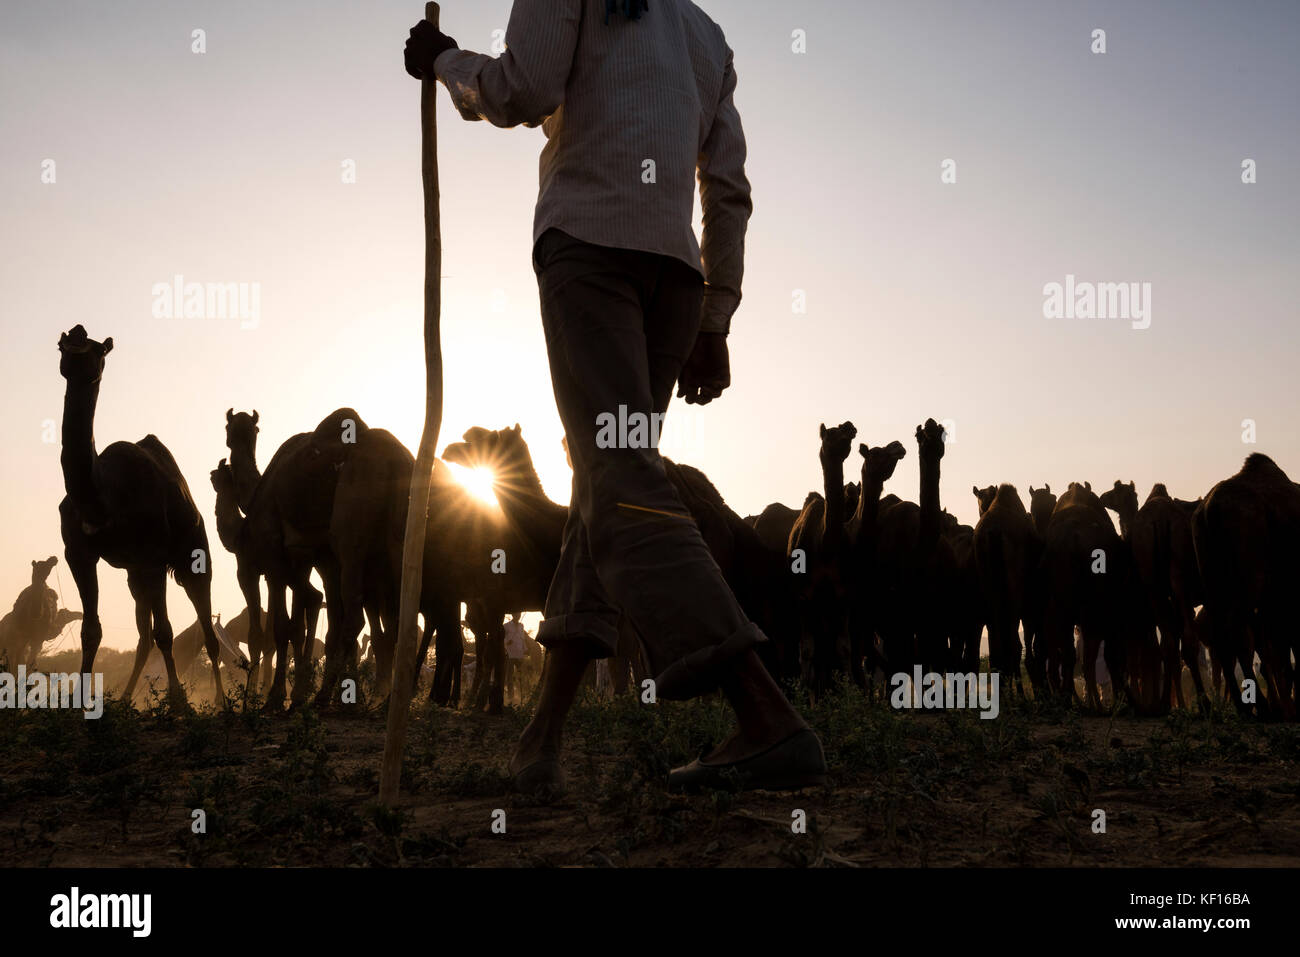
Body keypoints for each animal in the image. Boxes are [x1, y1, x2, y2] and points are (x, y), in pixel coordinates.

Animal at [58, 325, 227, 707]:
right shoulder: (78, 553)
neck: (101, 498)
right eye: (62, 343)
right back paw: (123, 700)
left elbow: (166, 632)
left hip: (194, 555)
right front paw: (77, 702)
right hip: (134, 574)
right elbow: (92, 630)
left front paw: (180, 703)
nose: (75, 337)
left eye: (94, 348)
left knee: (206, 629)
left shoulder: (153, 556)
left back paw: (222, 702)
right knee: (143, 636)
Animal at [785, 421, 857, 691]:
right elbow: (806, 651)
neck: (824, 544)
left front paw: (851, 694)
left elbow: (844, 648)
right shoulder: (804, 596)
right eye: (831, 433)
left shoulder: (843, 594)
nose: (850, 426)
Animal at [1190, 455, 1300, 717]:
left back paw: (1246, 707)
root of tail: (1209, 511)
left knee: (1223, 631)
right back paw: (1262, 706)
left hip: (1212, 573)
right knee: (1236, 629)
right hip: (1249, 574)